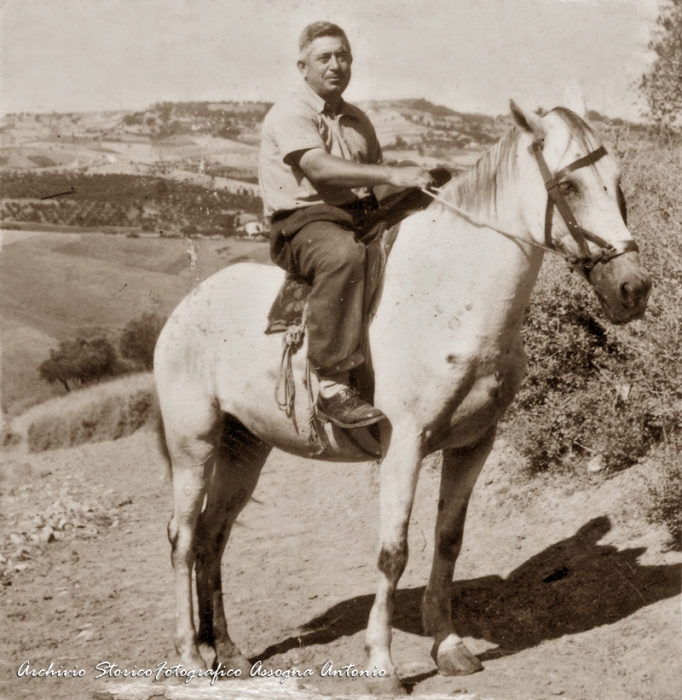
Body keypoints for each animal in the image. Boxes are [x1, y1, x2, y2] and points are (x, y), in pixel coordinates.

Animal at [153, 100, 648, 696]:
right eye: (569, 185)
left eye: (618, 183)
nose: (634, 288)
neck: (451, 296)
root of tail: (185, 306)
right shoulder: (404, 444)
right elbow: (394, 553)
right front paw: (382, 665)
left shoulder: (474, 444)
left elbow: (448, 539)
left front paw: (450, 645)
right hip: (194, 444)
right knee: (182, 538)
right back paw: (189, 655)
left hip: (244, 449)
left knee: (213, 536)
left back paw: (226, 650)